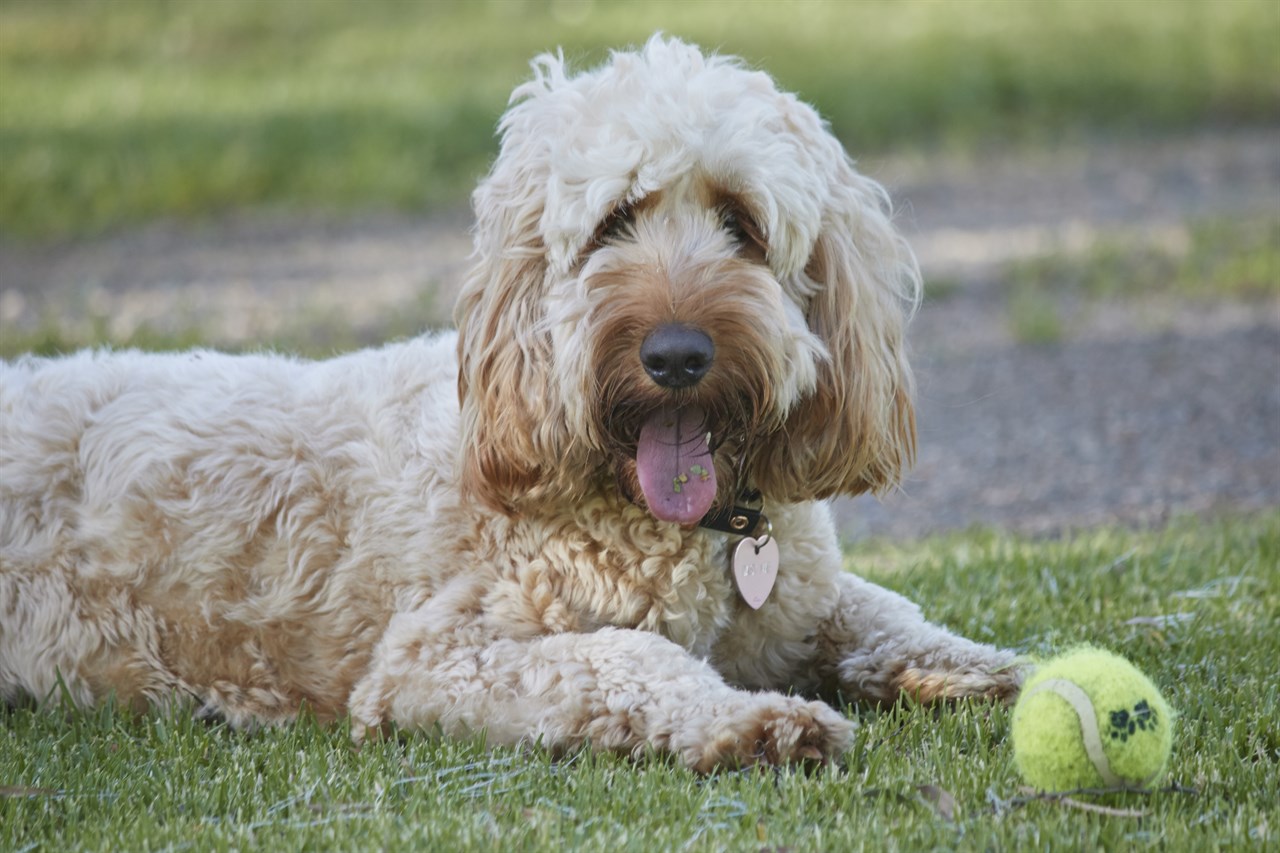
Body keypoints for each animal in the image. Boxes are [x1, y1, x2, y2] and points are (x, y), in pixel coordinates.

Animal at [0, 36, 1018, 768]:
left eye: (741, 222)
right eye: (613, 223)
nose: (677, 354)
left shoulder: (800, 595)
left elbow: (880, 609)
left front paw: (980, 664)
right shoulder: (438, 655)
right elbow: (630, 657)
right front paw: (759, 718)